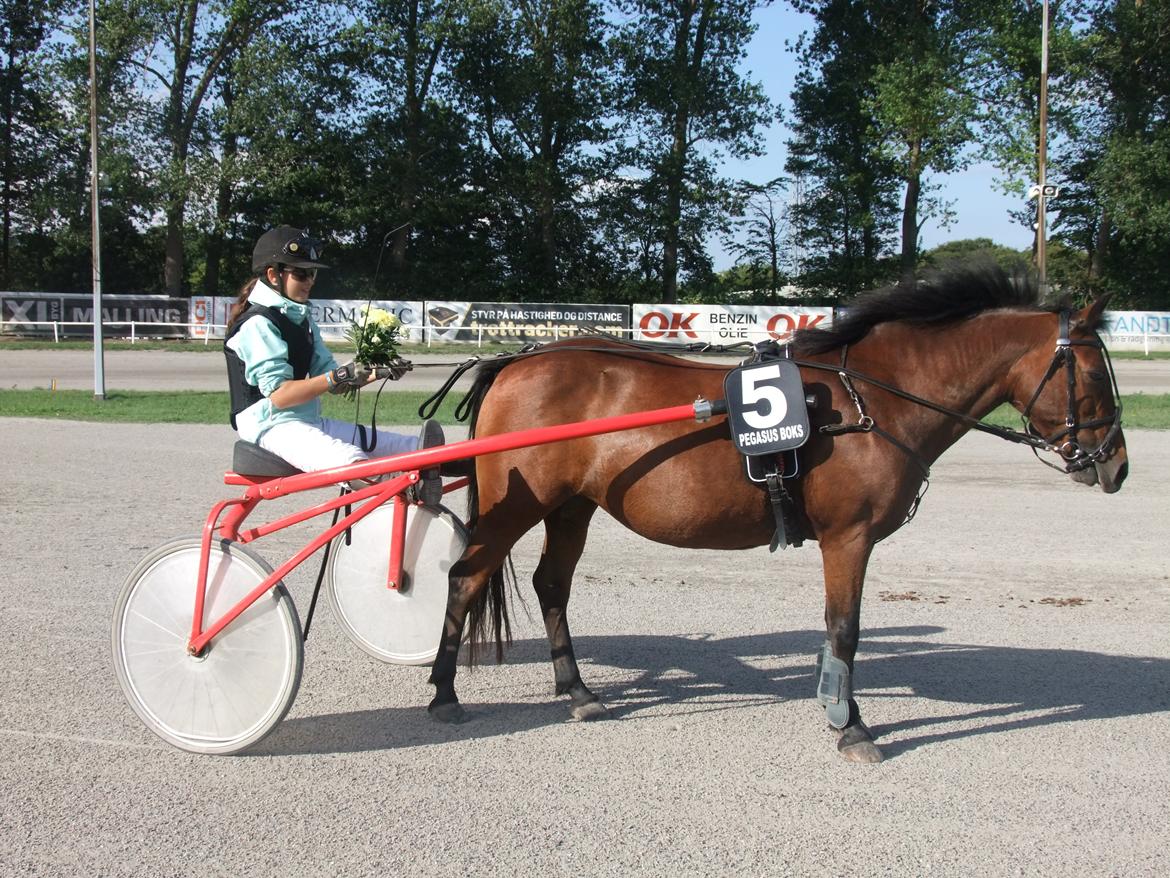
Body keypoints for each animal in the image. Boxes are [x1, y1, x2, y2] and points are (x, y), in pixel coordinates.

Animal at [426, 265, 1128, 763]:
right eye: (1095, 376)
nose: (1116, 466)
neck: (868, 400)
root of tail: (517, 361)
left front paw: (835, 704)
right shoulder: (849, 537)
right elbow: (844, 629)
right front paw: (852, 726)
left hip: (571, 507)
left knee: (551, 586)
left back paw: (577, 693)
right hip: (519, 506)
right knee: (464, 578)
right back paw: (444, 693)